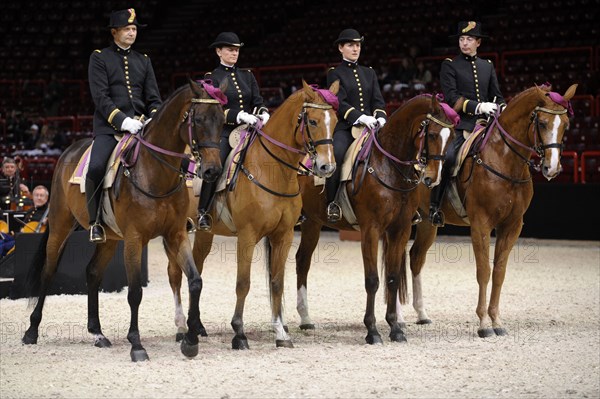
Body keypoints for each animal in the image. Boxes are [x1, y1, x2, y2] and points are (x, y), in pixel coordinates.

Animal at [21, 80, 225, 362]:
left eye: (222, 120)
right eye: (201, 119)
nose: (213, 171)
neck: (154, 171)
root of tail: (67, 152)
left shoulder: (176, 234)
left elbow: (195, 281)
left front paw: (190, 341)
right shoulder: (134, 239)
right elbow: (135, 292)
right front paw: (136, 345)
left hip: (109, 238)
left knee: (93, 272)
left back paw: (97, 334)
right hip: (60, 227)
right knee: (48, 272)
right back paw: (31, 331)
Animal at [166, 79, 340, 348]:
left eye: (336, 120)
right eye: (312, 121)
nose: (327, 166)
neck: (273, 171)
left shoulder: (283, 236)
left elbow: (277, 282)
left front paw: (280, 333)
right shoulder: (247, 236)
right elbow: (243, 283)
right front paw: (239, 332)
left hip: (204, 233)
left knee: (195, 268)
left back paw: (198, 326)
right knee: (175, 273)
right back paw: (181, 327)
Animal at [292, 93, 458, 344]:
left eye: (451, 139)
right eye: (430, 134)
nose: (432, 178)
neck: (389, 166)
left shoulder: (400, 229)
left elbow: (392, 277)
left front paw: (395, 328)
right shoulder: (371, 229)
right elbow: (372, 280)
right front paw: (372, 330)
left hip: (313, 222)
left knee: (302, 261)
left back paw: (305, 318)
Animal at [406, 83, 580, 340]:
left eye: (566, 125)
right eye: (542, 123)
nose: (553, 168)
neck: (505, 161)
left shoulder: (512, 226)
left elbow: (499, 272)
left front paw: (496, 320)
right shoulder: (481, 224)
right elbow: (484, 271)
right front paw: (483, 323)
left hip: (428, 223)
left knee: (416, 258)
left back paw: (421, 314)